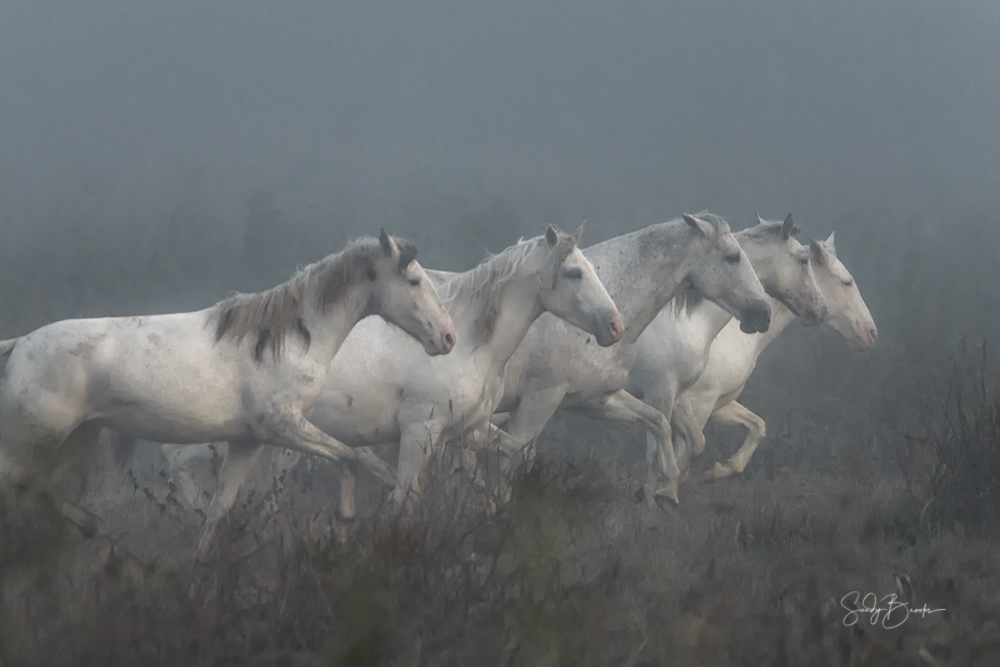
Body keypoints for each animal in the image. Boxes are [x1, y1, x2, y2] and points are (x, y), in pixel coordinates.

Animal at [0, 229, 456, 552]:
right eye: (414, 280)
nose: (447, 338)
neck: (285, 340)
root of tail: (18, 345)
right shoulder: (284, 427)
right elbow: (348, 458)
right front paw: (344, 521)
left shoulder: (248, 441)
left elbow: (219, 509)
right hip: (34, 440)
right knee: (20, 485)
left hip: (78, 436)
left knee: (42, 490)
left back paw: (98, 531)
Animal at [488, 212, 772, 505]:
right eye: (733, 257)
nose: (764, 312)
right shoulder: (540, 399)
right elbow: (515, 458)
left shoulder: (596, 399)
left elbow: (667, 430)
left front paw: (665, 490)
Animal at [622, 214, 827, 496]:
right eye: (803, 260)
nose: (820, 309)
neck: (690, 322)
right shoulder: (660, 393)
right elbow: (662, 456)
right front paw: (661, 491)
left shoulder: (680, 396)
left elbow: (701, 442)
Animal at [661, 231, 877, 482]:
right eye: (846, 282)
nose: (871, 332)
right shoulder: (697, 404)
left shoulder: (716, 405)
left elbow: (757, 426)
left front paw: (718, 470)